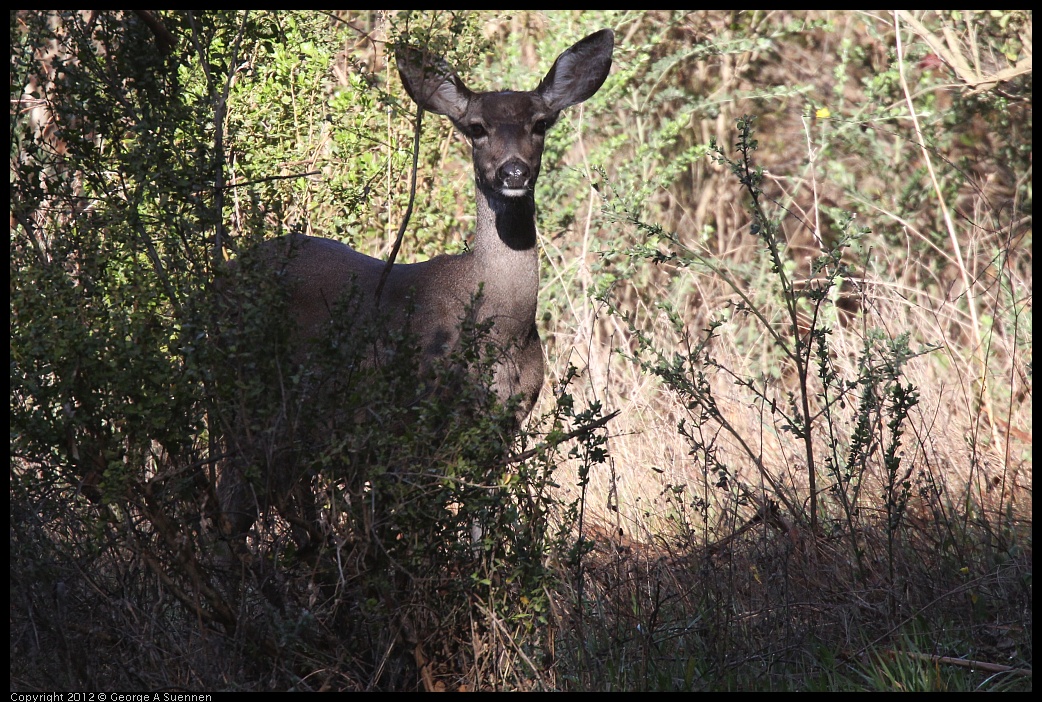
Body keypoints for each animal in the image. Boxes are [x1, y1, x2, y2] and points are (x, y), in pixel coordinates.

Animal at [215, 27, 612, 549]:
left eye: (541, 123)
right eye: (476, 127)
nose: (513, 172)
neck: (502, 330)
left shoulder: (502, 429)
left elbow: (479, 525)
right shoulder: (411, 424)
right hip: (245, 400)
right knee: (231, 507)